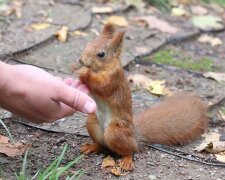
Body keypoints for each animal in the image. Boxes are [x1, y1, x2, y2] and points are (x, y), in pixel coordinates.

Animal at [73, 23, 209, 170]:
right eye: (88, 44)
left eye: (101, 54)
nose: (81, 60)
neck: (101, 69)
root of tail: (135, 137)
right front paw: (75, 68)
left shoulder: (113, 79)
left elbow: (102, 86)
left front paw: (84, 72)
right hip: (92, 123)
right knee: (102, 144)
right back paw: (91, 147)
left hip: (116, 132)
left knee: (129, 150)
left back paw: (127, 161)